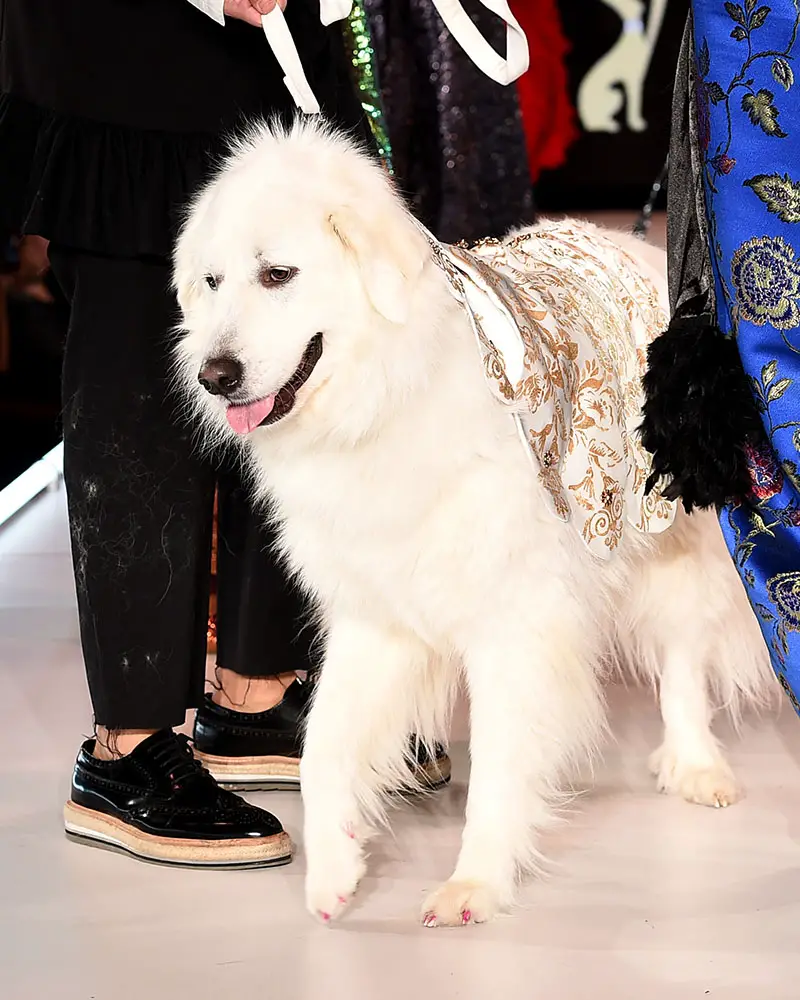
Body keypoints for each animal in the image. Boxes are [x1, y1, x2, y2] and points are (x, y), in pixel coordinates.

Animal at [172, 119, 772, 928]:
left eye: (277, 275)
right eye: (211, 282)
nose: (215, 375)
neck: (388, 397)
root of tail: (638, 248)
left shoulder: (514, 626)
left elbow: (498, 762)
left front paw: (475, 884)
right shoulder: (374, 620)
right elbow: (323, 746)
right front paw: (334, 870)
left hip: (674, 543)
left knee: (684, 655)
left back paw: (697, 765)